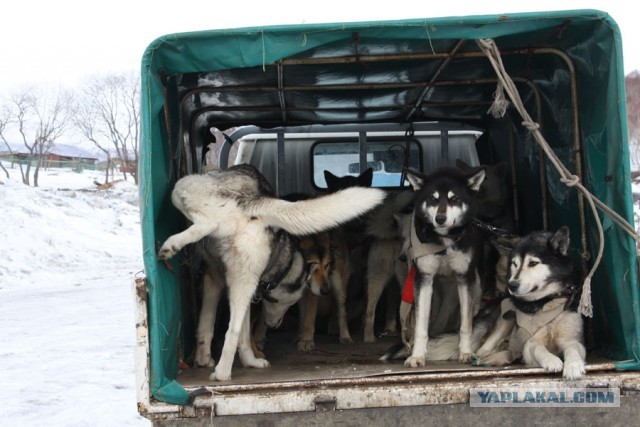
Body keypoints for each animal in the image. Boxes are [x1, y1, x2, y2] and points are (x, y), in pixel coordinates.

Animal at [159, 165, 384, 382]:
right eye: (281, 303)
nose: (275, 325)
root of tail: (258, 200)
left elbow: (208, 324)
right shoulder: (215, 279)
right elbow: (207, 325)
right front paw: (204, 358)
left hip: (184, 186)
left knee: (209, 222)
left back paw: (171, 246)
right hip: (243, 285)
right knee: (235, 332)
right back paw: (239, 366)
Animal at [404, 166, 484, 366]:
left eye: (454, 199)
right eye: (433, 199)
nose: (440, 218)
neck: (444, 241)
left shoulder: (465, 277)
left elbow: (466, 324)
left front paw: (466, 352)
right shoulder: (423, 278)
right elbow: (420, 325)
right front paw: (417, 355)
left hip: (476, 284)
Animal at [476, 227, 584, 382]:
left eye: (533, 263)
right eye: (514, 264)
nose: (512, 285)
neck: (546, 301)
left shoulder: (571, 338)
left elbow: (573, 348)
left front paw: (574, 366)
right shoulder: (529, 343)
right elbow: (539, 349)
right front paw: (551, 360)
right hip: (506, 320)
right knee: (487, 346)